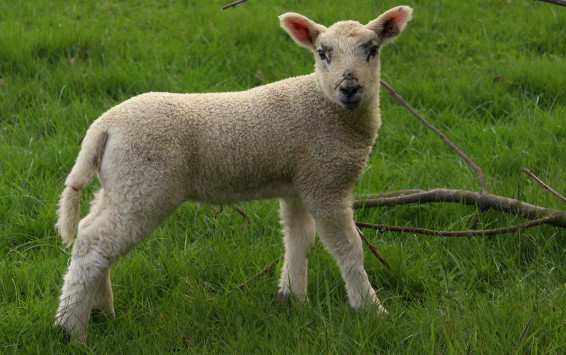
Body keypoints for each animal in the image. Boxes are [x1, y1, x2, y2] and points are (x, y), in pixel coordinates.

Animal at [55, 5, 412, 340]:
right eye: (322, 53)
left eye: (372, 49)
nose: (349, 87)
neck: (329, 108)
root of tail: (103, 126)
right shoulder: (326, 182)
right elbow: (347, 247)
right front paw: (371, 310)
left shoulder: (299, 182)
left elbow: (299, 239)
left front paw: (293, 299)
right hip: (144, 185)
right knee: (93, 246)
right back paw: (70, 328)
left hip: (120, 182)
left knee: (90, 232)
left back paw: (100, 309)